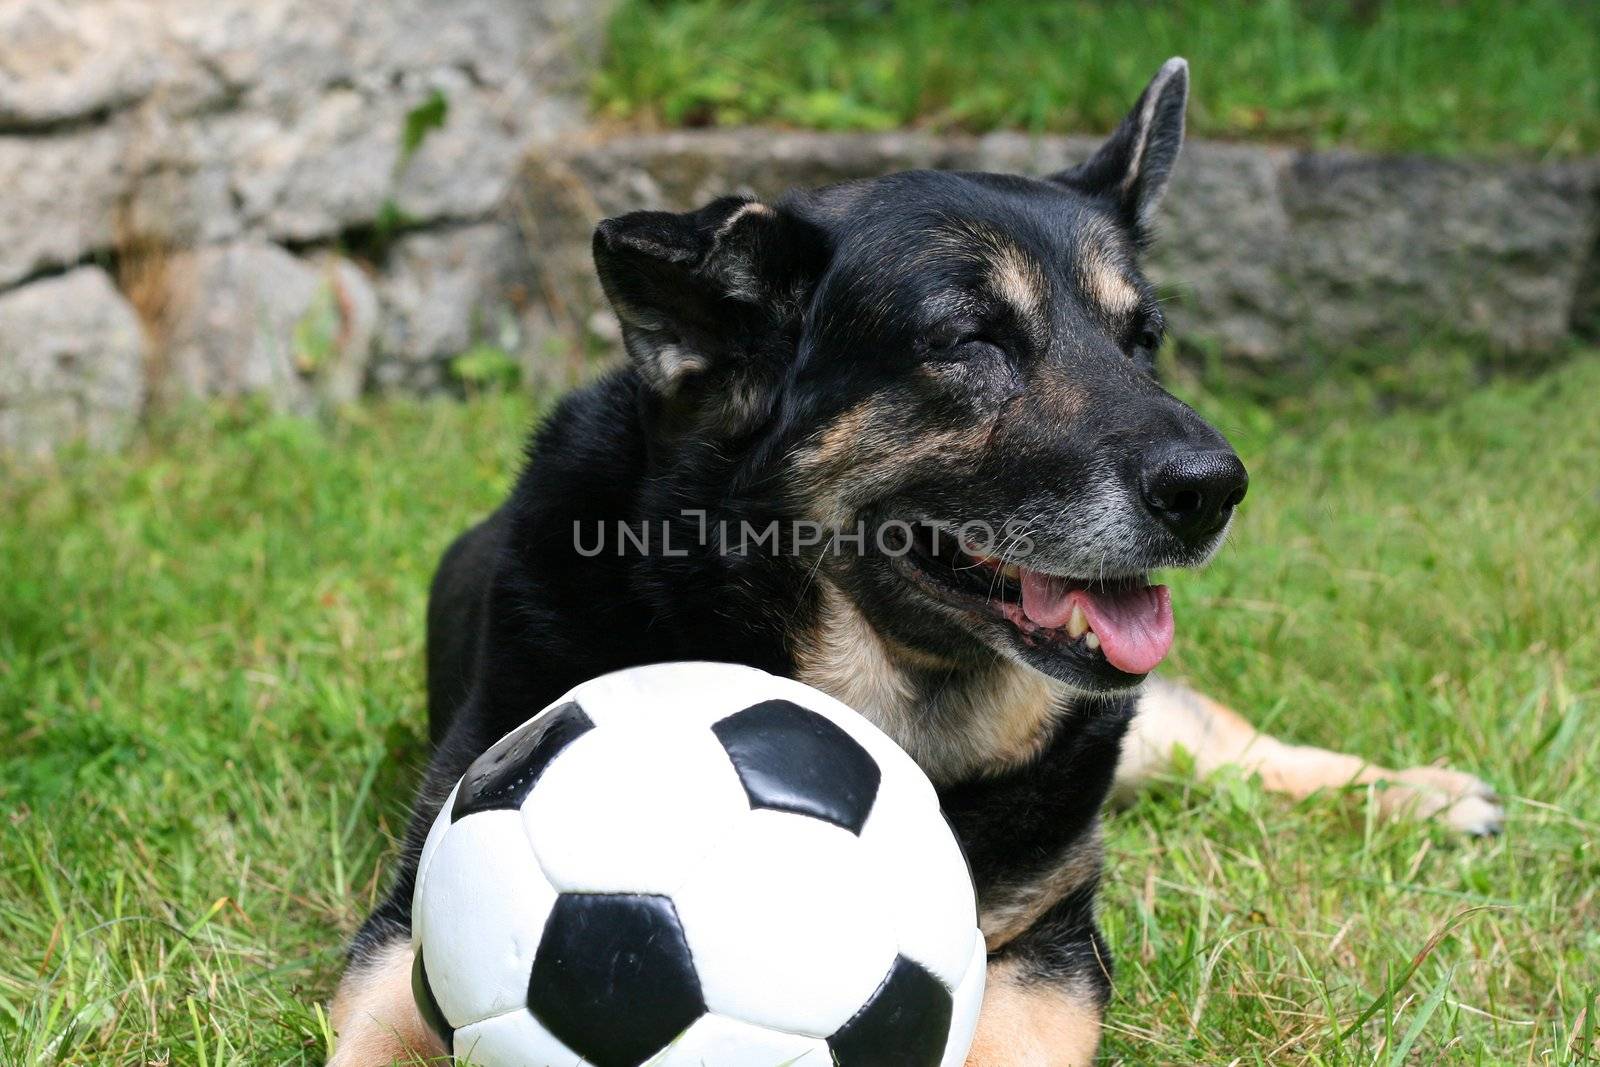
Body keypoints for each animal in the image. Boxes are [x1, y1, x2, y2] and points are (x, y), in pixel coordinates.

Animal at [328, 60, 1497, 1067]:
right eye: (970, 340)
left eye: (1142, 340)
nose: (1214, 488)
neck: (881, 694)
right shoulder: (408, 924)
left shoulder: (1048, 949)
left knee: (1228, 743)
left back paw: (1421, 794)